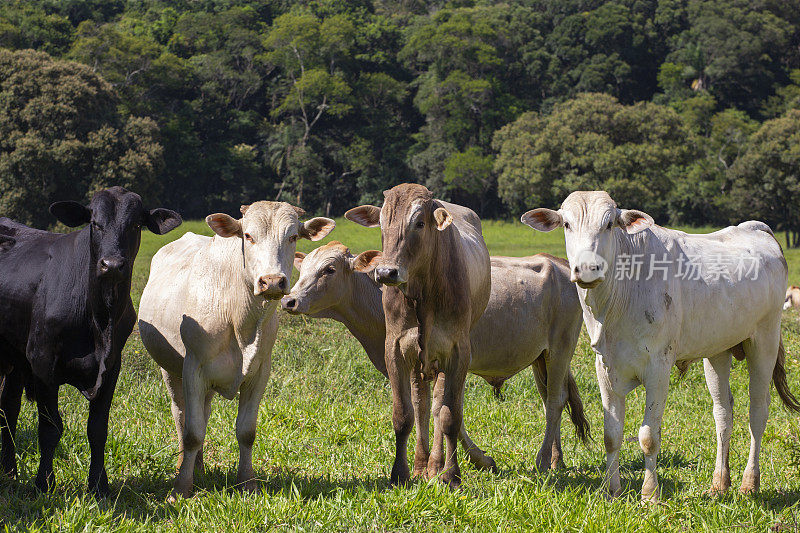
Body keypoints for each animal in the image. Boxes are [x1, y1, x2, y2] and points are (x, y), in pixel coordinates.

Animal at [0, 187, 180, 494]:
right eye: (95, 224)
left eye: (135, 225)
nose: (112, 265)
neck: (99, 320)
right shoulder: (42, 363)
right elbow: (50, 428)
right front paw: (44, 483)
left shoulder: (112, 366)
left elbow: (97, 429)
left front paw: (99, 486)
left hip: (14, 358)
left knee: (8, 410)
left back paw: (10, 473)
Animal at [139, 202, 332, 496]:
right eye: (248, 236)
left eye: (292, 237)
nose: (272, 281)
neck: (240, 318)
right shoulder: (193, 368)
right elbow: (192, 432)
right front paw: (180, 489)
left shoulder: (260, 372)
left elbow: (246, 431)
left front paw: (247, 483)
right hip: (170, 370)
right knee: (181, 416)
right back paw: (185, 466)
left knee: (203, 414)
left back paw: (199, 468)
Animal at [346, 183, 490, 486]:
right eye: (381, 224)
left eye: (420, 223)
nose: (385, 272)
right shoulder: (395, 348)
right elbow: (403, 415)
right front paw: (399, 473)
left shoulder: (458, 351)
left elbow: (449, 416)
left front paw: (451, 474)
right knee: (421, 404)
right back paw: (422, 465)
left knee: (436, 407)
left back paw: (435, 466)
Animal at [520, 190, 796, 498]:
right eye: (566, 224)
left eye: (609, 224)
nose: (588, 268)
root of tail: (756, 228)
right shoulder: (604, 366)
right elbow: (611, 434)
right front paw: (611, 490)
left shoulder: (659, 367)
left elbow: (649, 436)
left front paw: (650, 494)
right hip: (718, 351)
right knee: (723, 413)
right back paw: (719, 483)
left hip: (764, 340)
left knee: (757, 412)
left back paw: (750, 482)